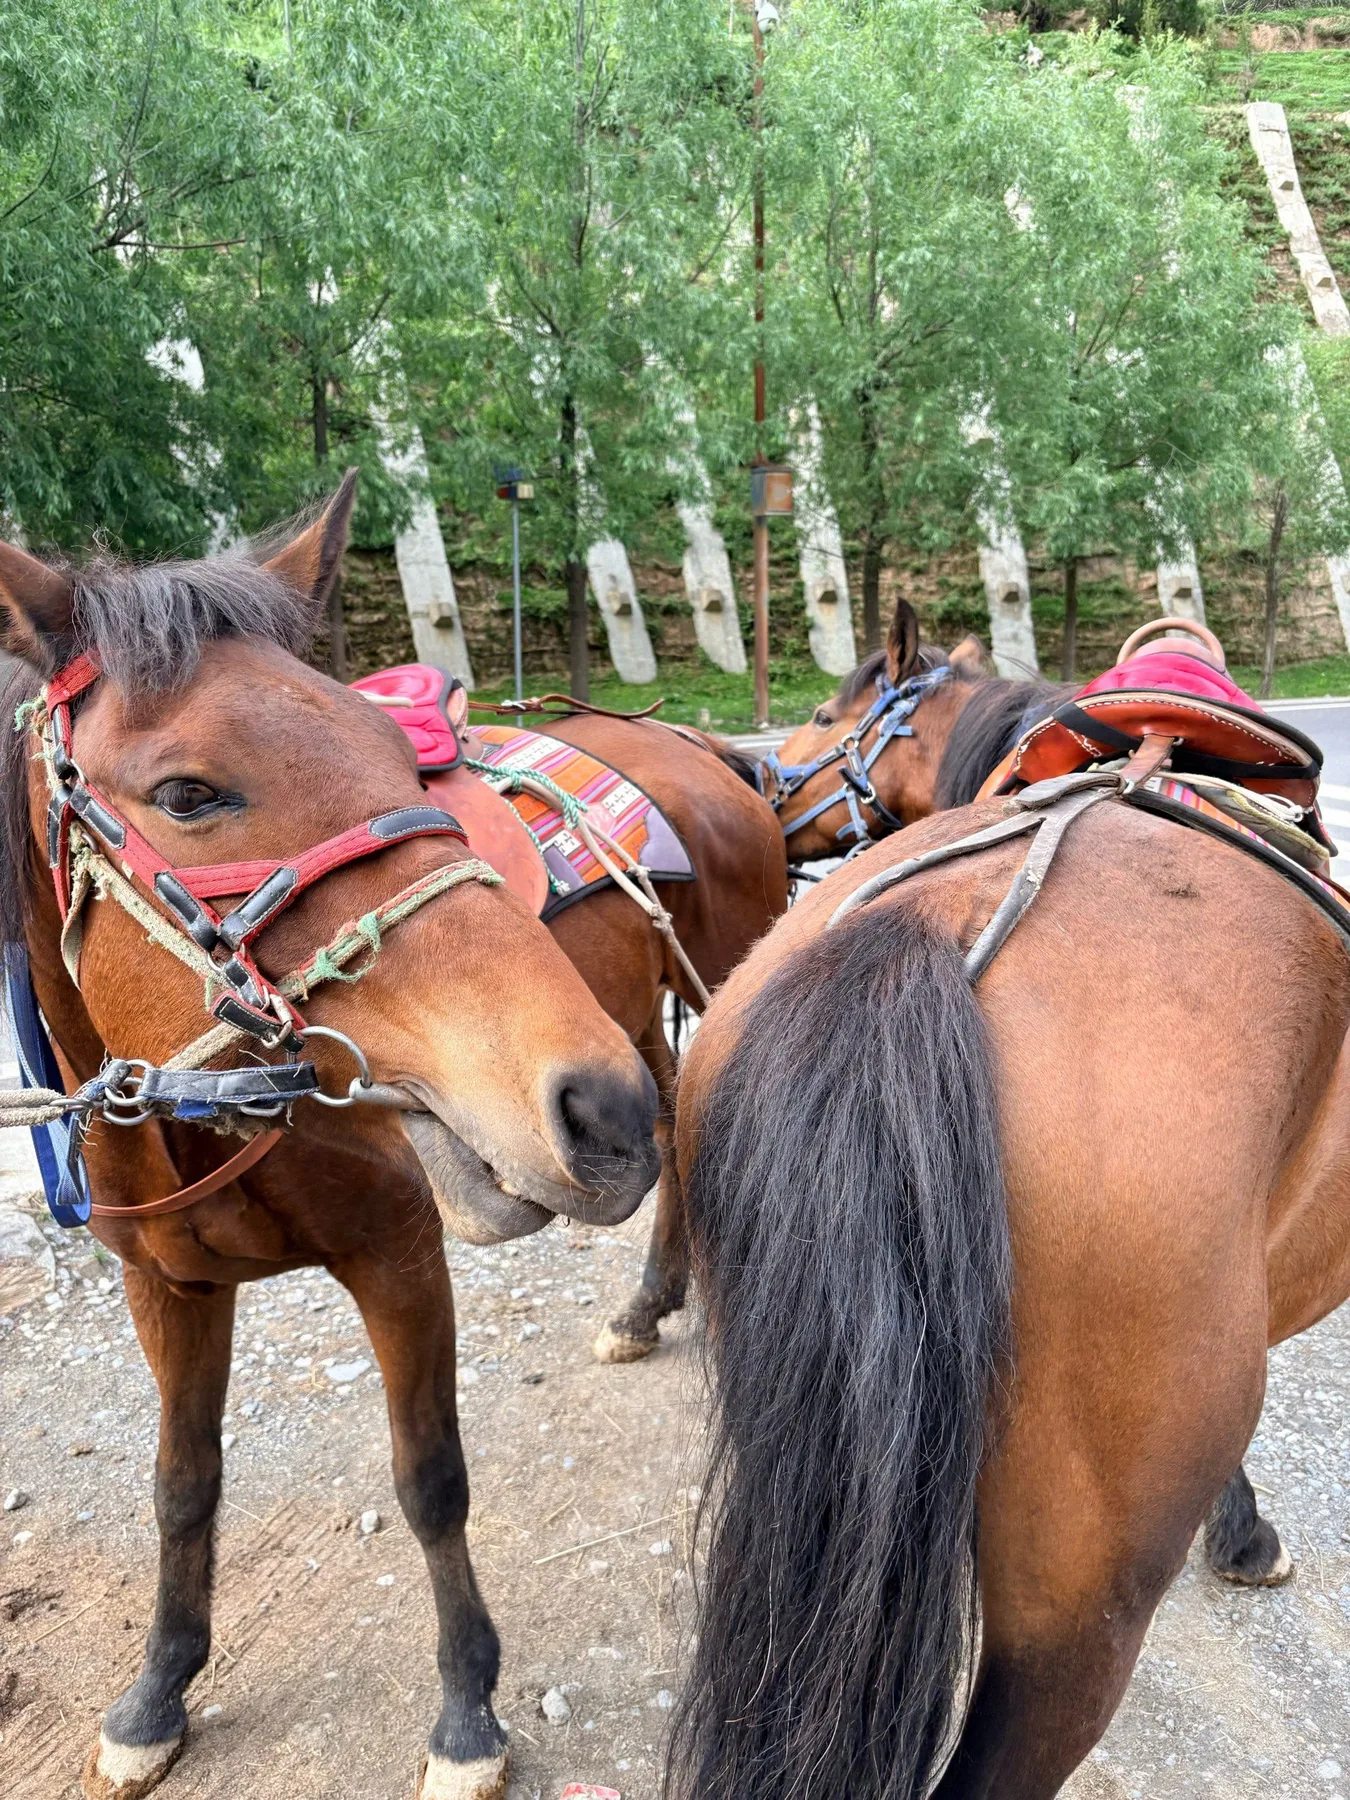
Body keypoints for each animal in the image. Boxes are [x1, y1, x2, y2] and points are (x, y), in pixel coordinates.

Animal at [0, 476, 662, 1800]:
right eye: (188, 793)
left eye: (392, 753)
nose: (598, 1108)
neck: (200, 1117)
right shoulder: (167, 1289)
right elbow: (182, 1486)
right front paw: (158, 1690)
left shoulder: (398, 1253)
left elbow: (430, 1480)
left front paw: (467, 1710)